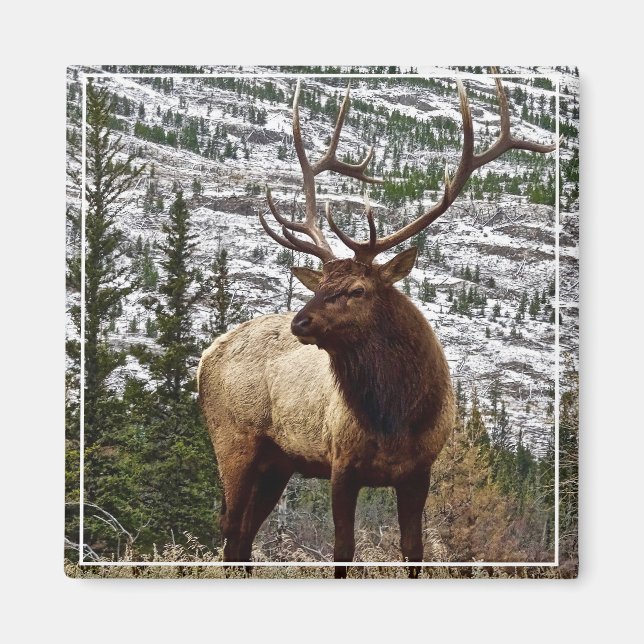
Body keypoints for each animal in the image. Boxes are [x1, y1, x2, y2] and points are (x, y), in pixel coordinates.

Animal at [197, 73, 557, 578]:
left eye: (357, 290)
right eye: (322, 283)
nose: (300, 321)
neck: (395, 417)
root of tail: (207, 354)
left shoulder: (419, 471)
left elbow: (413, 550)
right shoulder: (341, 464)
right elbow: (342, 551)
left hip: (277, 461)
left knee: (244, 536)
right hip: (233, 440)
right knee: (230, 529)